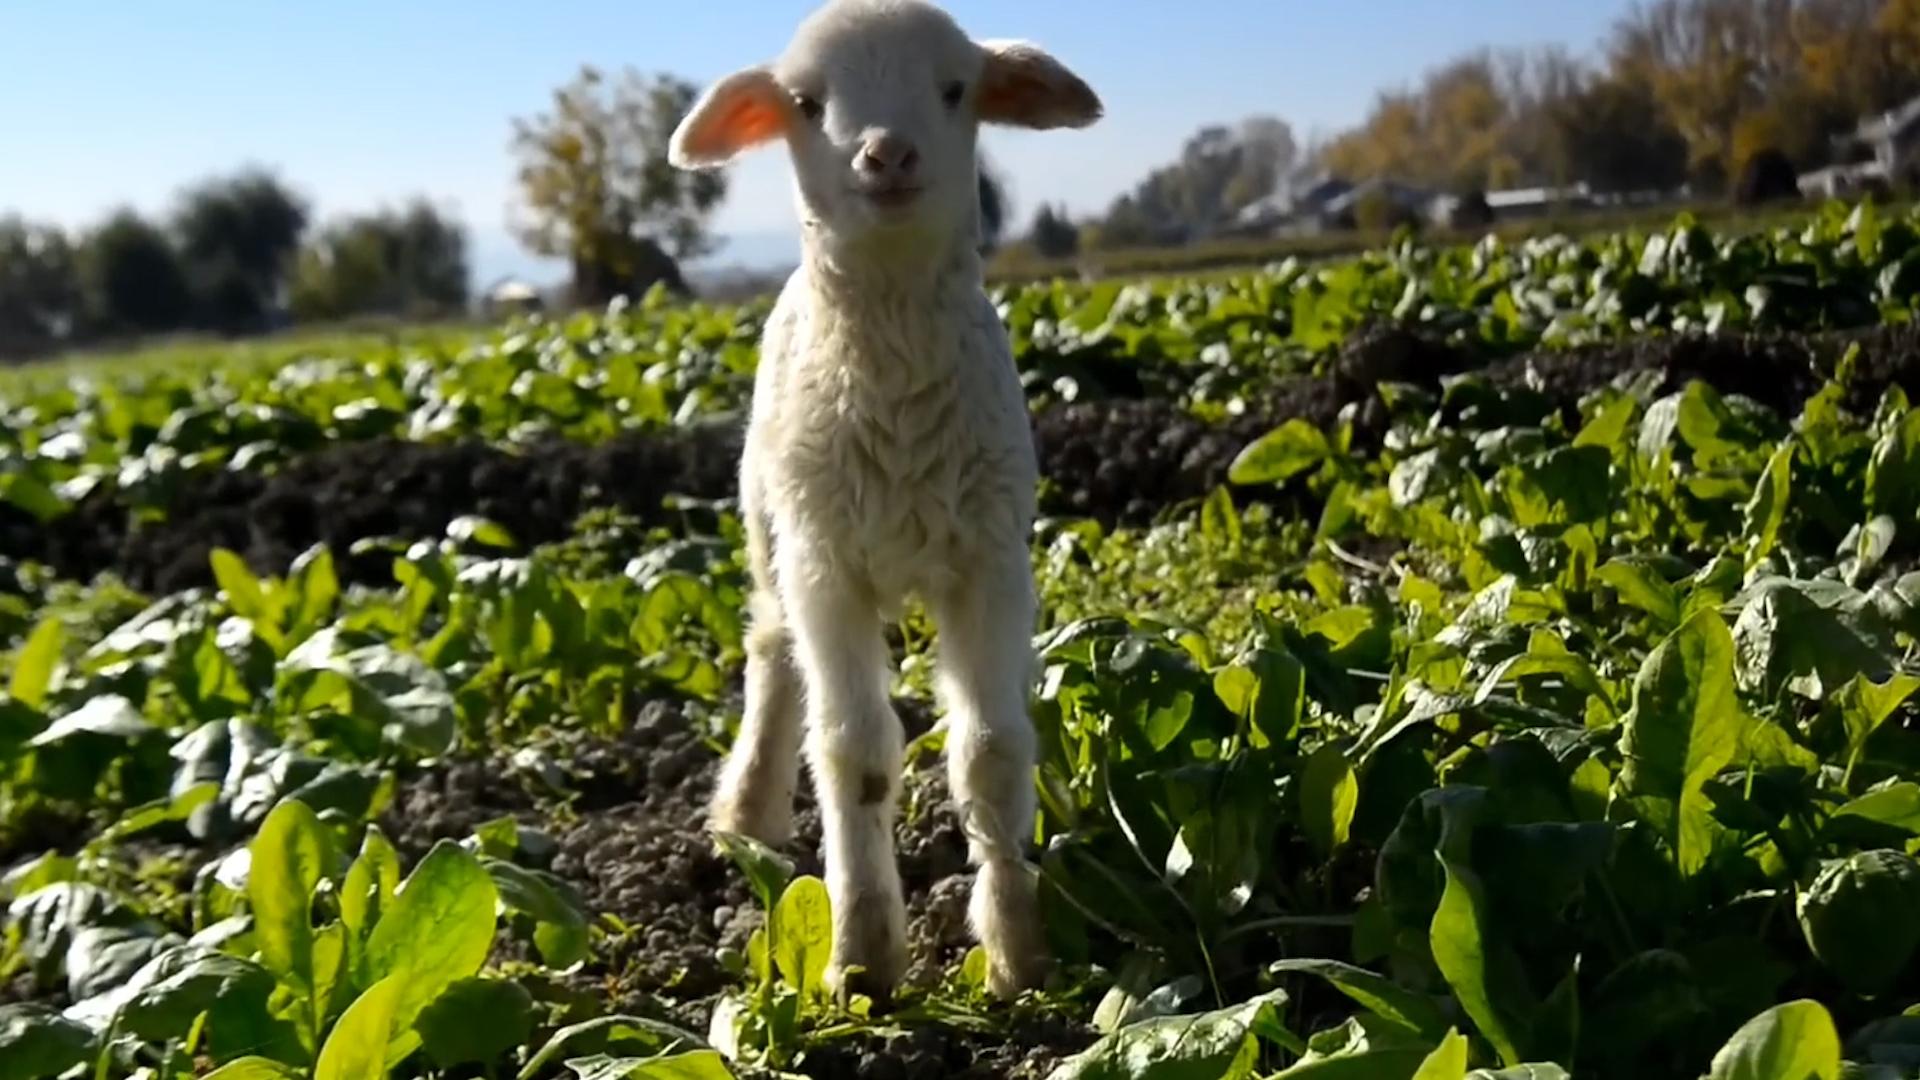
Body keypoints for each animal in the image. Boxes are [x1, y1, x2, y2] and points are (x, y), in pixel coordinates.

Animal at [668, 0, 1105, 999]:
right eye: (803, 102)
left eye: (954, 89)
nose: (888, 154)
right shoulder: (827, 567)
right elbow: (854, 754)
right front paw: (863, 960)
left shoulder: (990, 557)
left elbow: (992, 752)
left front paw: (1019, 952)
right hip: (773, 522)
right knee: (772, 651)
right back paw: (745, 812)